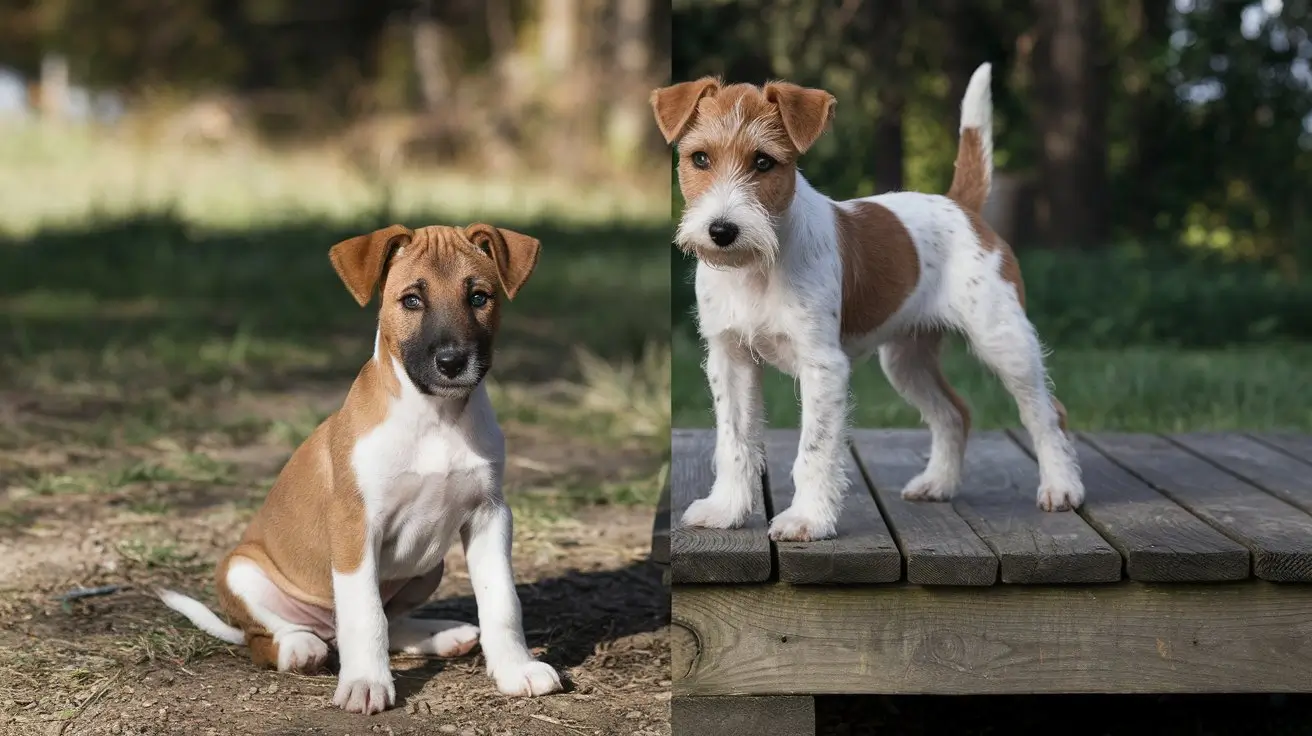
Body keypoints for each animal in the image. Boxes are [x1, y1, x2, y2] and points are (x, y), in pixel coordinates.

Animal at [156, 223, 561, 713]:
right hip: (242, 571)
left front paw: (516, 670)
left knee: (393, 621)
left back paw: (445, 635)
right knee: (265, 637)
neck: (435, 417)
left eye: (479, 297)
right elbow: (364, 614)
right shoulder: (356, 525)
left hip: (430, 566)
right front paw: (366, 683)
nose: (452, 362)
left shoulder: (489, 515)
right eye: (411, 300)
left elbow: (501, 600)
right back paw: (300, 646)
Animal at [650, 64, 1081, 545]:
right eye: (700, 159)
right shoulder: (731, 358)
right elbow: (733, 441)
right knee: (954, 414)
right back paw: (938, 483)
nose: (722, 231)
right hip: (907, 360)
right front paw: (726, 509)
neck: (757, 266)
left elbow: (814, 448)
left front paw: (808, 519)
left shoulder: (823, 366)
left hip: (1004, 341)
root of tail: (959, 205)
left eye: (763, 162)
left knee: (1046, 414)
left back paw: (1061, 487)